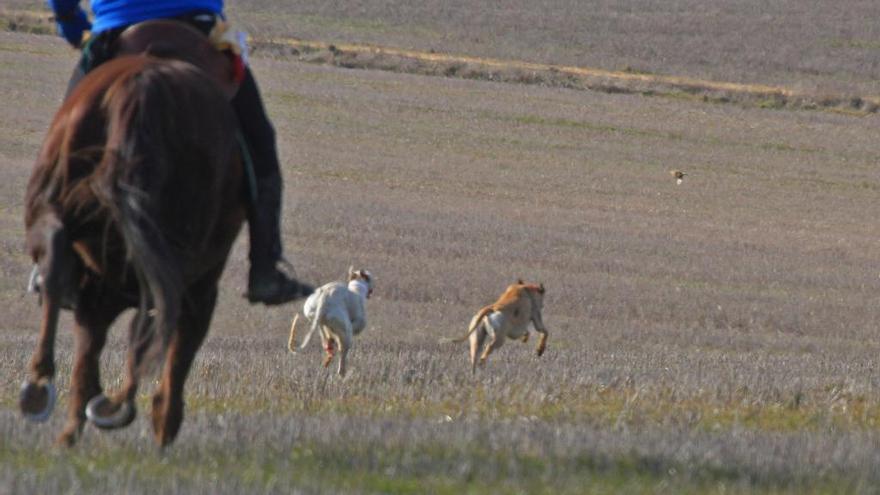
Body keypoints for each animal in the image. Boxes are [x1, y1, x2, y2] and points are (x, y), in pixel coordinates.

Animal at [18, 23, 251, 448]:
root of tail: (144, 85)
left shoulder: (97, 290)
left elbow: (90, 350)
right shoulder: (199, 284)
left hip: (56, 207)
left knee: (59, 261)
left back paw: (43, 387)